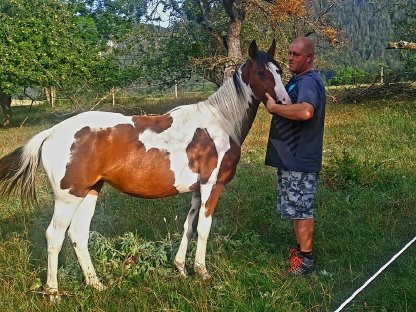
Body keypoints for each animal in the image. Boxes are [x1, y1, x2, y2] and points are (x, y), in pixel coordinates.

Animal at [0, 39, 290, 298]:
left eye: (279, 70)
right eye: (262, 72)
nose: (285, 102)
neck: (219, 123)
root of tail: (51, 132)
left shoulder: (197, 191)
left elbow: (188, 226)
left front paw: (182, 269)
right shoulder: (211, 186)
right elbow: (204, 228)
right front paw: (202, 272)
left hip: (90, 192)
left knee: (78, 235)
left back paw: (96, 284)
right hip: (67, 198)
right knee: (55, 236)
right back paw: (53, 292)